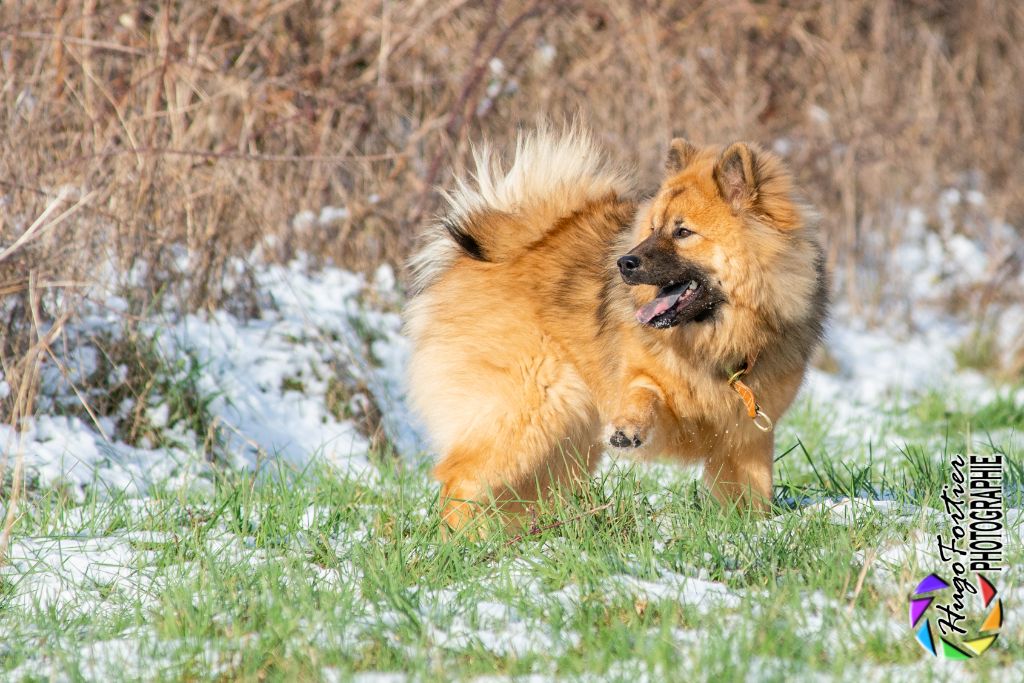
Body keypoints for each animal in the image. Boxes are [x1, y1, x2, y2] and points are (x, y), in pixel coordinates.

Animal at [403, 129, 827, 532]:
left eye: (683, 232)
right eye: (653, 227)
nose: (625, 262)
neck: (716, 342)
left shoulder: (747, 440)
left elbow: (749, 496)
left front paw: (753, 530)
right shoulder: (653, 390)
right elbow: (645, 393)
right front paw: (628, 428)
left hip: (564, 444)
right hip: (531, 413)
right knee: (460, 479)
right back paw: (464, 543)